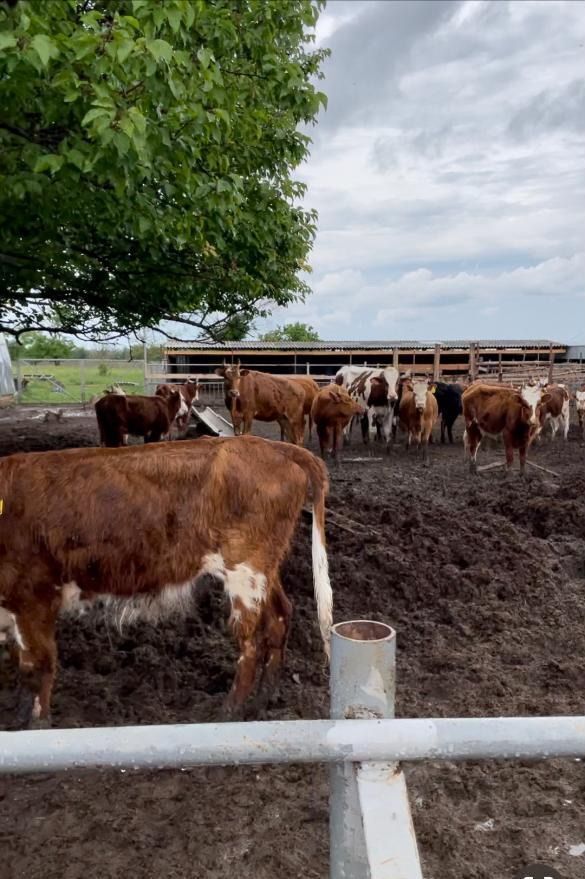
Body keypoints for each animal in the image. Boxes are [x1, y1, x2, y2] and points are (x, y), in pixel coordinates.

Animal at [0, 434, 330, 728]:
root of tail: (274, 446)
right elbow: (20, 662)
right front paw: (16, 715)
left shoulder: (35, 596)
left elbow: (38, 665)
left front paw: (36, 725)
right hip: (263, 570)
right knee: (279, 618)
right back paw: (262, 702)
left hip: (245, 569)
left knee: (251, 642)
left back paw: (230, 712)